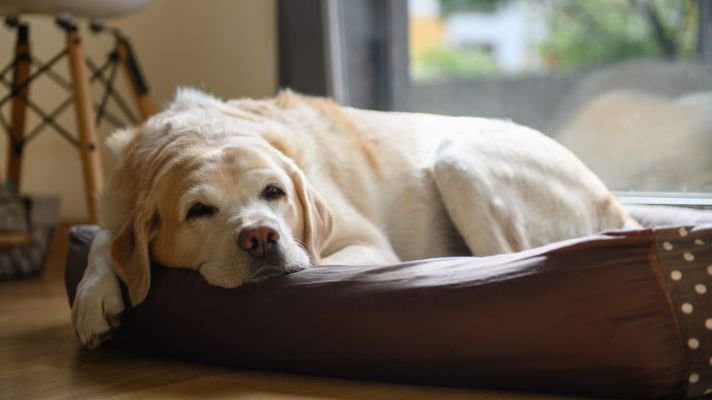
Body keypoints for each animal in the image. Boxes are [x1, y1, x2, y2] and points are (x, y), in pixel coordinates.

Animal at [72, 87, 636, 346]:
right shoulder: (119, 206)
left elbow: (319, 262)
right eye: (198, 211)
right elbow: (104, 239)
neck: (202, 132)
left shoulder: (361, 241)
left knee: (510, 258)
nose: (261, 237)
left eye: (274, 192)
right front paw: (94, 297)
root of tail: (618, 204)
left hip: (457, 160)